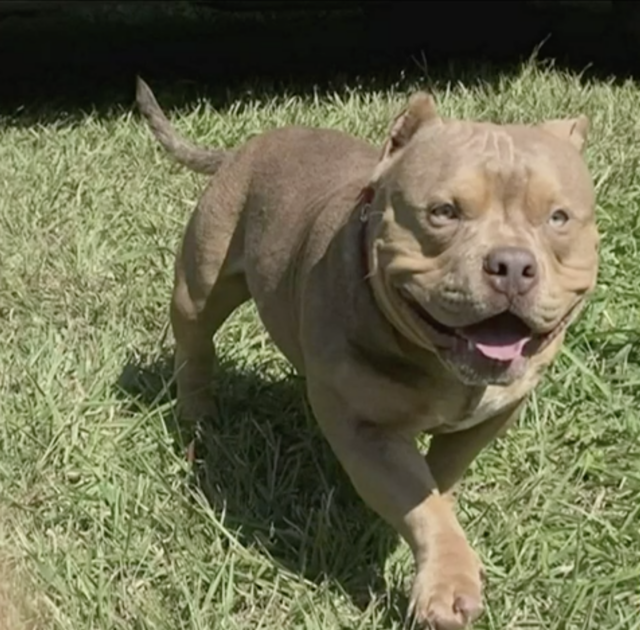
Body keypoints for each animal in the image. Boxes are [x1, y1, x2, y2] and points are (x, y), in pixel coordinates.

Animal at [136, 80, 600, 630]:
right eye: (444, 212)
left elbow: (439, 482)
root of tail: (246, 146)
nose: (511, 265)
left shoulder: (492, 416)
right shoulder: (368, 431)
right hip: (200, 285)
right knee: (196, 345)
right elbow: (420, 501)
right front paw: (446, 583)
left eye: (558, 218)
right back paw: (196, 412)